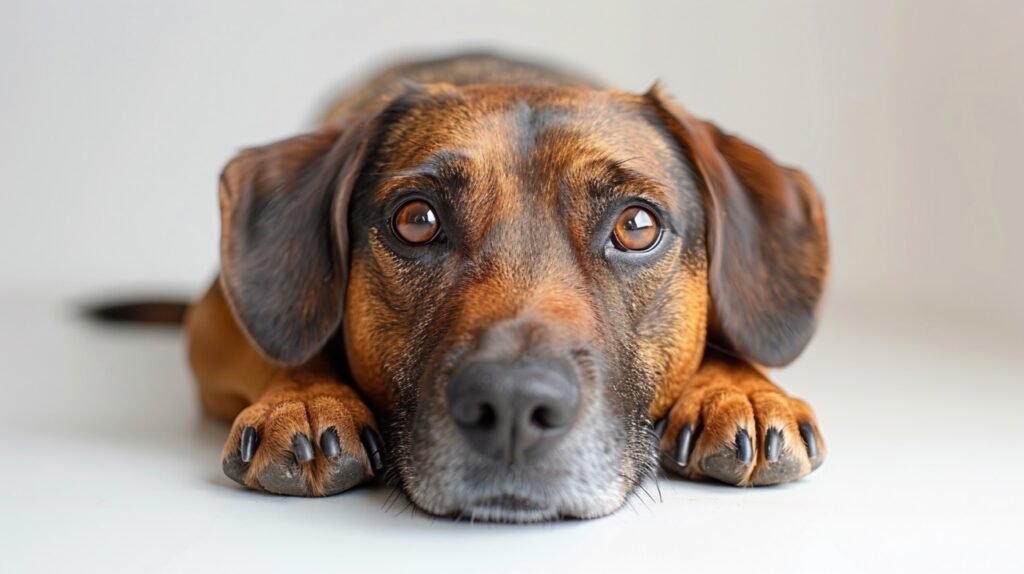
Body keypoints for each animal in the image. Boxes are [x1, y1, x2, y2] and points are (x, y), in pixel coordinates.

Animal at [180, 51, 827, 521]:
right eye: (417, 220)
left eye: (636, 227)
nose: (514, 406)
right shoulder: (214, 318)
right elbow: (282, 343)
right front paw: (306, 397)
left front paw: (741, 390)